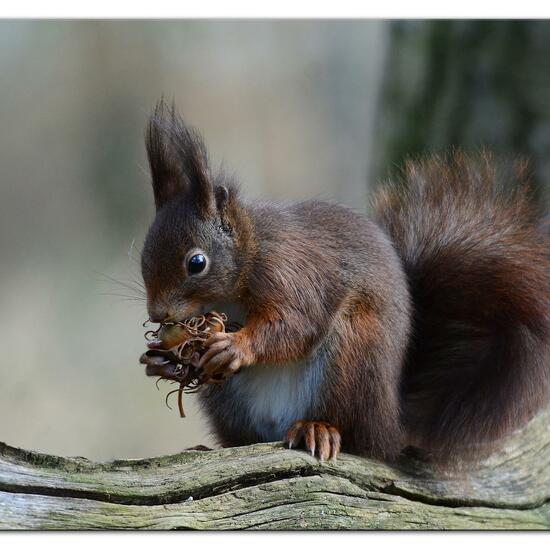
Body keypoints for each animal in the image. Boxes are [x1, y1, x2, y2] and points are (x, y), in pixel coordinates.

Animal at [141, 100, 550, 466]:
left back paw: (317, 428)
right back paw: (215, 446)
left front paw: (236, 346)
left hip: (352, 353)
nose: (157, 313)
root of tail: (391, 422)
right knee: (244, 438)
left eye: (196, 263)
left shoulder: (292, 272)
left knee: (354, 435)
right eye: (144, 254)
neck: (250, 249)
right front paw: (159, 361)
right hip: (232, 404)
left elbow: (294, 324)